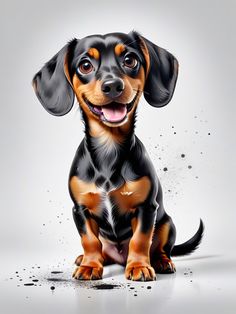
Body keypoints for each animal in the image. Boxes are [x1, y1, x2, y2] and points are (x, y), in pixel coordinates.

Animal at [32, 32, 204, 282]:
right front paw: (90, 265)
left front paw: (139, 266)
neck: (109, 148)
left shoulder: (146, 208)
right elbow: (89, 241)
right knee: (102, 249)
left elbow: (140, 240)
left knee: (161, 248)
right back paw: (86, 259)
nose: (113, 85)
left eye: (130, 60)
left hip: (167, 223)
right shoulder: (80, 210)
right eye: (85, 65)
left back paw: (161, 261)